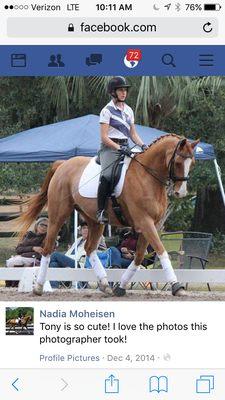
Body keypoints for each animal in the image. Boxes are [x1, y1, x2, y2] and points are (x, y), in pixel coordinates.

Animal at [17, 134, 199, 296]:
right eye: (178, 162)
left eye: (193, 164)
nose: (181, 193)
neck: (147, 176)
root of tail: (63, 164)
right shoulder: (144, 222)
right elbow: (161, 251)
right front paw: (177, 286)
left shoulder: (152, 225)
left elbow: (139, 256)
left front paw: (121, 287)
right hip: (57, 216)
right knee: (48, 248)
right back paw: (38, 287)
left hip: (94, 221)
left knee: (90, 249)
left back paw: (105, 285)